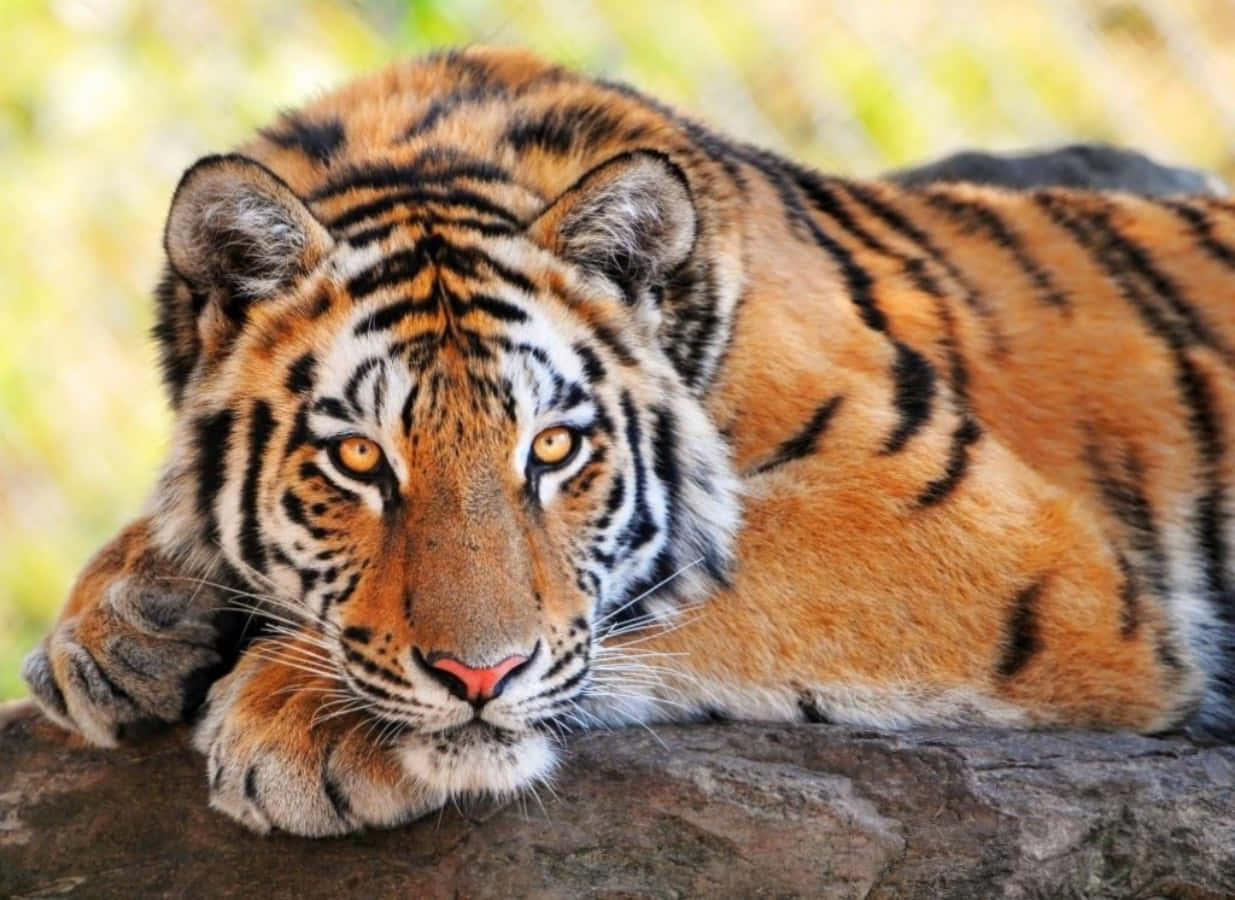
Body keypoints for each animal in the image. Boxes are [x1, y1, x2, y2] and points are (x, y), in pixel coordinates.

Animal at [20, 46, 1235, 837]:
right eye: (359, 460)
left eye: (553, 450)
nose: (478, 675)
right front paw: (121, 623)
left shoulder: (993, 540)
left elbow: (670, 590)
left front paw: (298, 717)